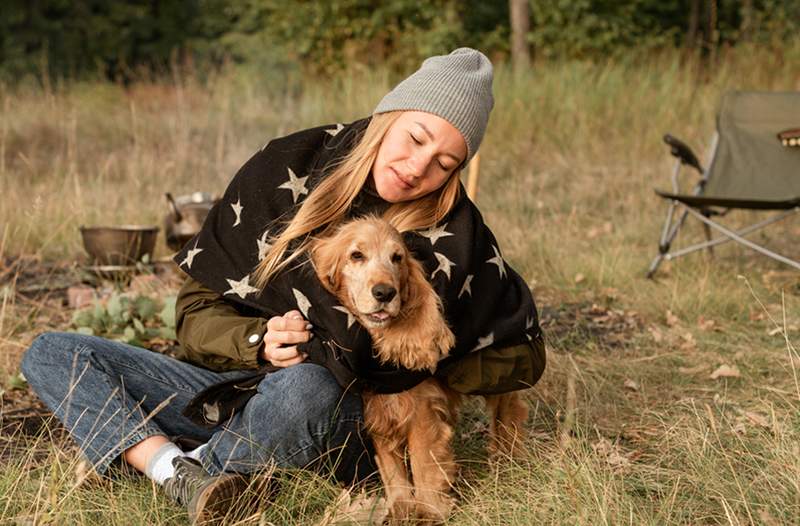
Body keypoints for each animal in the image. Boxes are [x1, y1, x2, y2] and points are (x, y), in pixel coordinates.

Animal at [310, 216, 528, 524]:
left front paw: (429, 511)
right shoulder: (377, 409)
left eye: (397, 258)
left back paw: (507, 457)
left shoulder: (422, 411)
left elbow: (423, 462)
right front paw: (400, 509)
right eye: (356, 255)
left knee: (508, 410)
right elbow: (392, 470)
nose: (385, 292)